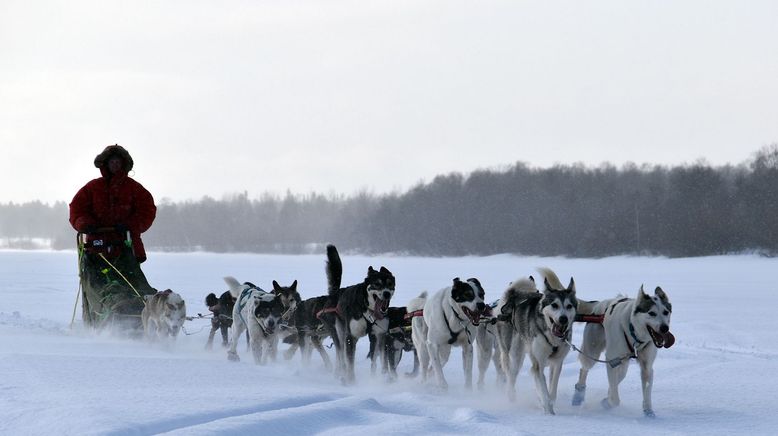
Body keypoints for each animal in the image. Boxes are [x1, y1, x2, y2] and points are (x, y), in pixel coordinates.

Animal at [316, 245, 394, 384]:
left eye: (390, 284)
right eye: (377, 284)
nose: (387, 294)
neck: (367, 309)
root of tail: (334, 294)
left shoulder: (380, 335)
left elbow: (382, 361)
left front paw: (384, 378)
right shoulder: (351, 337)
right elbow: (350, 363)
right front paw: (351, 382)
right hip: (339, 333)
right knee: (340, 355)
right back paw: (340, 374)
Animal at [494, 270, 572, 416]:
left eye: (569, 306)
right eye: (554, 305)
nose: (563, 319)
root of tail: (513, 296)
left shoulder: (557, 363)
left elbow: (552, 389)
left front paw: (548, 403)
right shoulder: (538, 364)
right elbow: (543, 388)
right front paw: (547, 410)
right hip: (514, 355)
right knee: (511, 376)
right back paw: (511, 397)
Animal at [568, 284, 672, 418]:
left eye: (666, 312)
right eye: (652, 313)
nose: (665, 328)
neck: (634, 334)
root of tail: (598, 304)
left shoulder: (647, 367)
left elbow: (646, 391)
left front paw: (648, 412)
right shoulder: (612, 362)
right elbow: (615, 399)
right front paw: (608, 402)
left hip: (623, 365)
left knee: (618, 378)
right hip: (592, 352)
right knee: (584, 369)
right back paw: (578, 396)